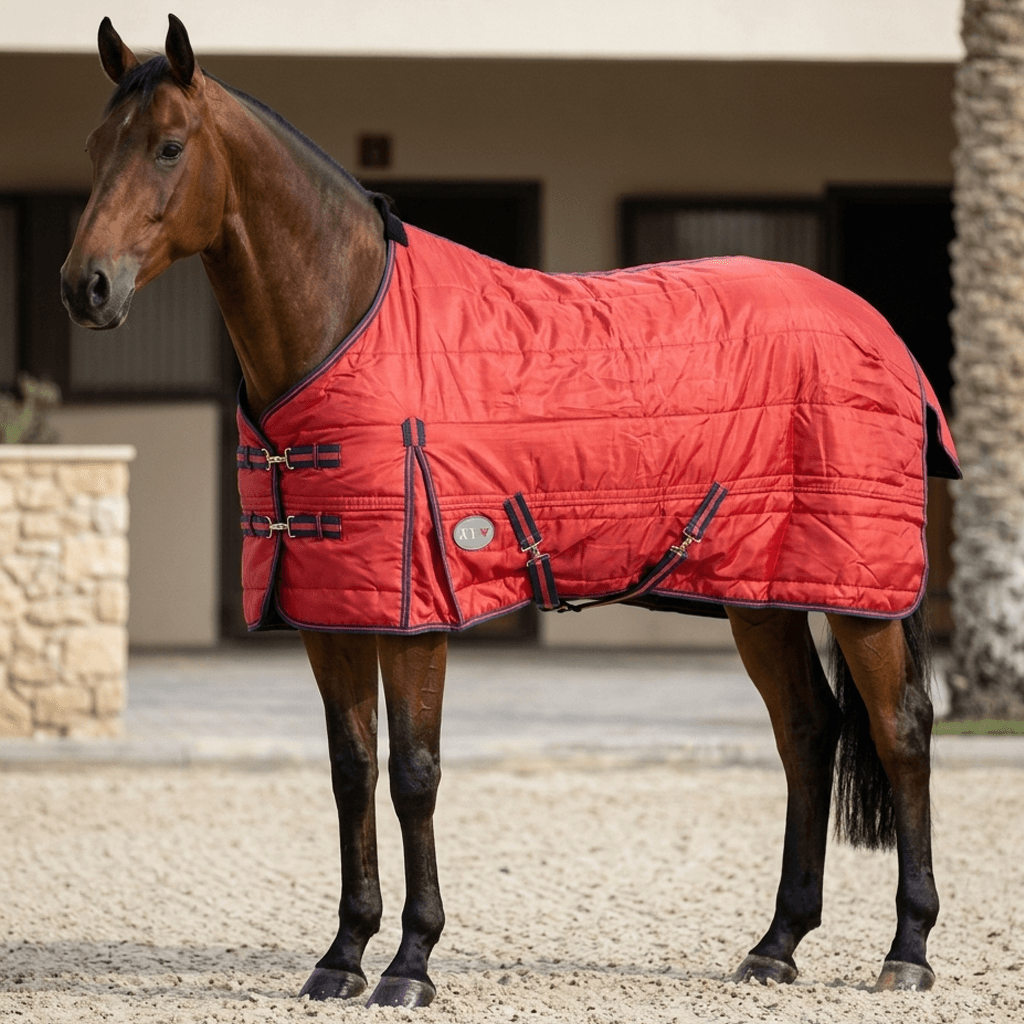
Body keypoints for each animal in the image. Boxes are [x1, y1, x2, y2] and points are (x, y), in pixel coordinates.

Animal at [61, 15, 954, 1009]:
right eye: (97, 145)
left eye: (169, 146)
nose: (84, 286)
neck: (351, 327)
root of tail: (879, 331)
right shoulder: (331, 614)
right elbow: (349, 773)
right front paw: (342, 955)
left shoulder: (417, 618)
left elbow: (414, 775)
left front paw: (410, 962)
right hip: (761, 595)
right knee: (807, 732)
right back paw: (776, 943)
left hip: (859, 594)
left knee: (900, 731)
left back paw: (908, 949)